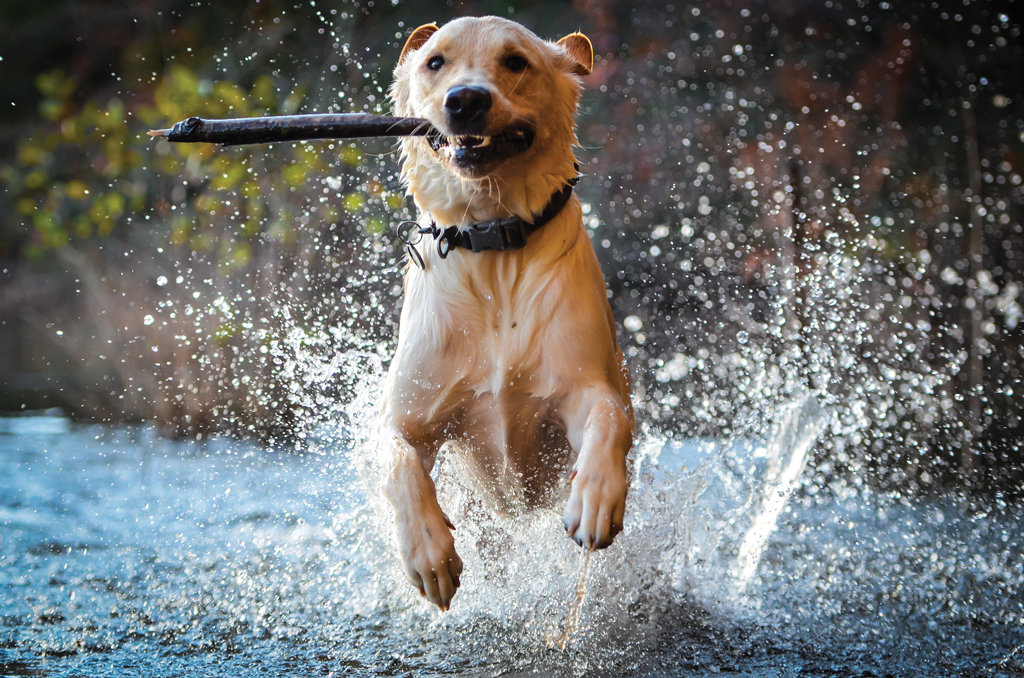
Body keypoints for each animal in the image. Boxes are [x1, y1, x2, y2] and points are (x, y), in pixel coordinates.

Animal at [378, 15, 630, 614]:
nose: (465, 100)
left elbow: (610, 417)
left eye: (516, 61)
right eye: (435, 62)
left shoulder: (583, 387)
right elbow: (397, 461)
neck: (492, 243)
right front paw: (428, 552)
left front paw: (596, 498)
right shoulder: (407, 414)